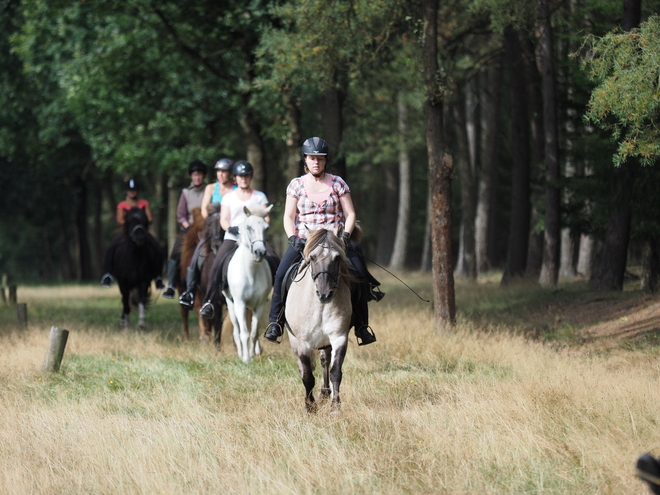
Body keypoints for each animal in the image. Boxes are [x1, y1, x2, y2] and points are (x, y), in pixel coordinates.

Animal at [223, 205, 272, 364]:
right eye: (249, 227)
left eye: (266, 228)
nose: (259, 252)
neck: (251, 272)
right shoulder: (240, 303)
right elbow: (244, 333)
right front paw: (246, 359)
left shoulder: (260, 305)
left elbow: (254, 333)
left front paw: (251, 354)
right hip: (231, 305)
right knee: (236, 331)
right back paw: (240, 353)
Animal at [284, 227, 356, 412]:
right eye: (313, 257)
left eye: (337, 258)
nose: (324, 294)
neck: (319, 306)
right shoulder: (303, 343)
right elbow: (307, 376)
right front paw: (310, 407)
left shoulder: (339, 337)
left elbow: (335, 372)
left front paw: (335, 407)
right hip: (294, 341)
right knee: (304, 368)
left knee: (325, 361)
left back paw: (325, 393)